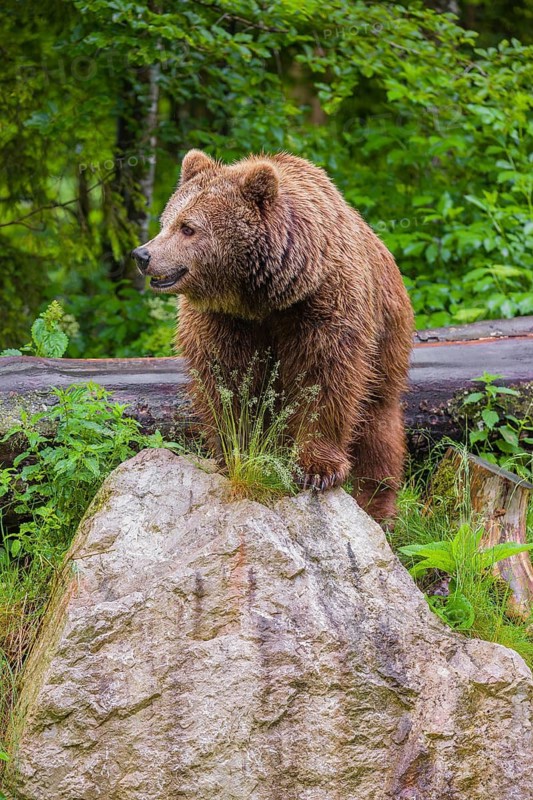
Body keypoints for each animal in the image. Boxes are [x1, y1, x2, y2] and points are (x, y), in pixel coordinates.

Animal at [132, 150, 414, 523]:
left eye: (188, 227)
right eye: (166, 221)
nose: (142, 255)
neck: (263, 296)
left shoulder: (324, 303)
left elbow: (324, 379)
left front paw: (317, 470)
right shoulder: (223, 322)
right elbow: (228, 383)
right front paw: (235, 451)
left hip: (387, 331)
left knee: (378, 417)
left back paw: (377, 504)